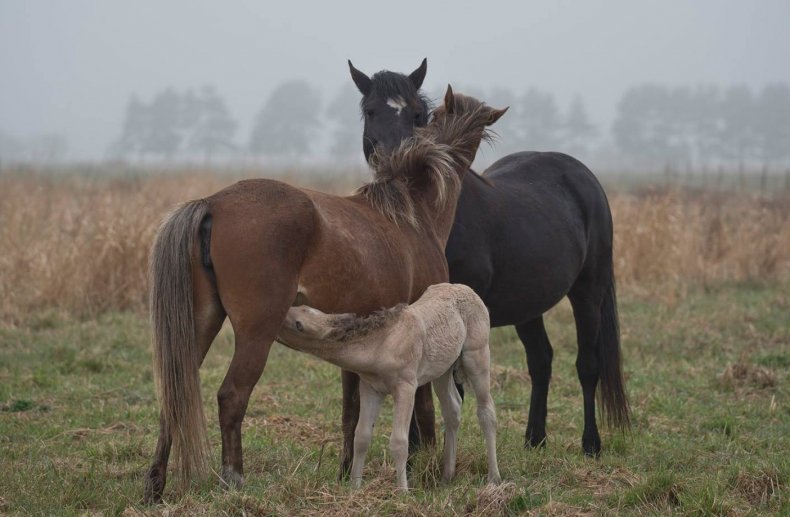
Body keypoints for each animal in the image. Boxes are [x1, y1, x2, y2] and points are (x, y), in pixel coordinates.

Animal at [278, 282, 502, 488]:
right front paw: (354, 489)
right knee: (452, 409)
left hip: (476, 356)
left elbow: (399, 442)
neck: (381, 344)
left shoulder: (406, 388)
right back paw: (447, 477)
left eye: (298, 324)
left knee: (486, 411)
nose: (280, 311)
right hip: (443, 370)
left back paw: (493, 478)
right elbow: (361, 436)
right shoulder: (370, 388)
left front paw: (402, 492)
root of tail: (465, 288)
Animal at [346, 59, 632, 460]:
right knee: (541, 361)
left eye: (417, 114)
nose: (397, 164)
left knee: (588, 365)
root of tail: (582, 175)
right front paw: (416, 448)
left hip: (588, 292)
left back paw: (590, 443)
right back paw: (534, 438)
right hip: (528, 305)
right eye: (370, 111)